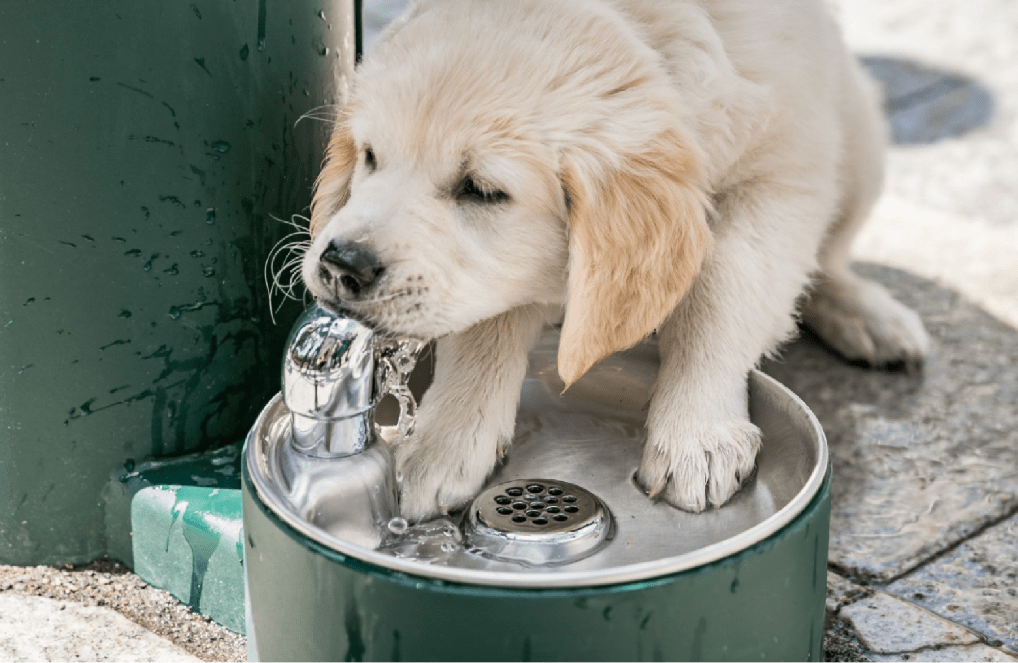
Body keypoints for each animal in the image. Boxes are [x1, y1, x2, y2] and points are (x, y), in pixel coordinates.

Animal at [299, 0, 932, 525]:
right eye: (371, 157)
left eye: (480, 190)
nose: (342, 265)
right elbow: (488, 318)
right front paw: (443, 443)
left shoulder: (784, 171)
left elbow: (724, 285)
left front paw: (697, 435)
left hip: (857, 135)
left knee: (829, 257)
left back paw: (868, 317)